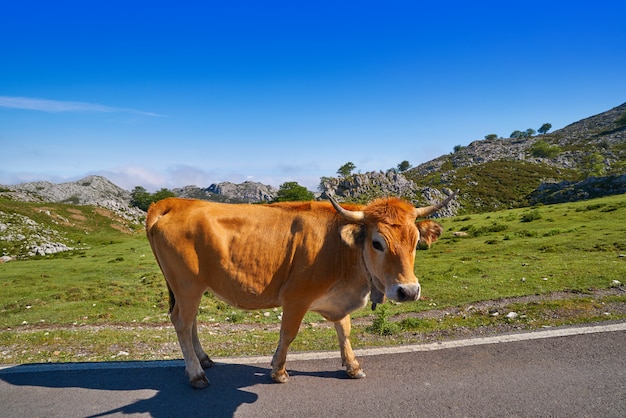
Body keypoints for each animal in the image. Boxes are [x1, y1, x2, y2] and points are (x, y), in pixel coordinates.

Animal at [147, 193, 458, 388]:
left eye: (416, 241)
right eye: (377, 243)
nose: (409, 291)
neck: (342, 249)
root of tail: (174, 202)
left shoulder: (338, 299)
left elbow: (344, 331)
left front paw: (352, 366)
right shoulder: (296, 297)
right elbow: (288, 333)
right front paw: (278, 371)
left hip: (193, 288)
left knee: (190, 323)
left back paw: (204, 360)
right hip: (187, 285)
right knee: (181, 322)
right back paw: (196, 374)